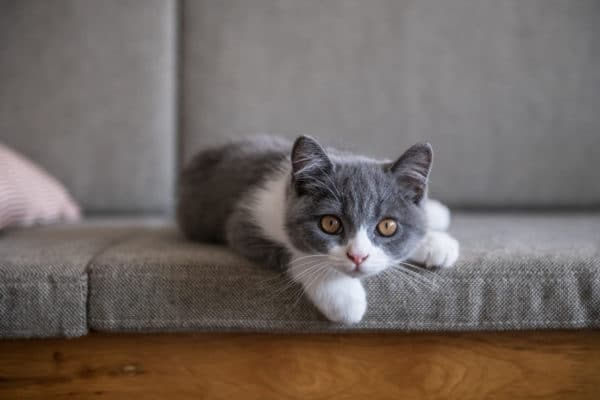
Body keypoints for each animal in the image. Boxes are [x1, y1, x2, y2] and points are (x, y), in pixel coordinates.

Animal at [178, 136, 460, 324]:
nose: (358, 256)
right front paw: (343, 296)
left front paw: (434, 243)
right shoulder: (244, 219)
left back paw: (437, 212)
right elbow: (297, 254)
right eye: (330, 223)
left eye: (387, 226)